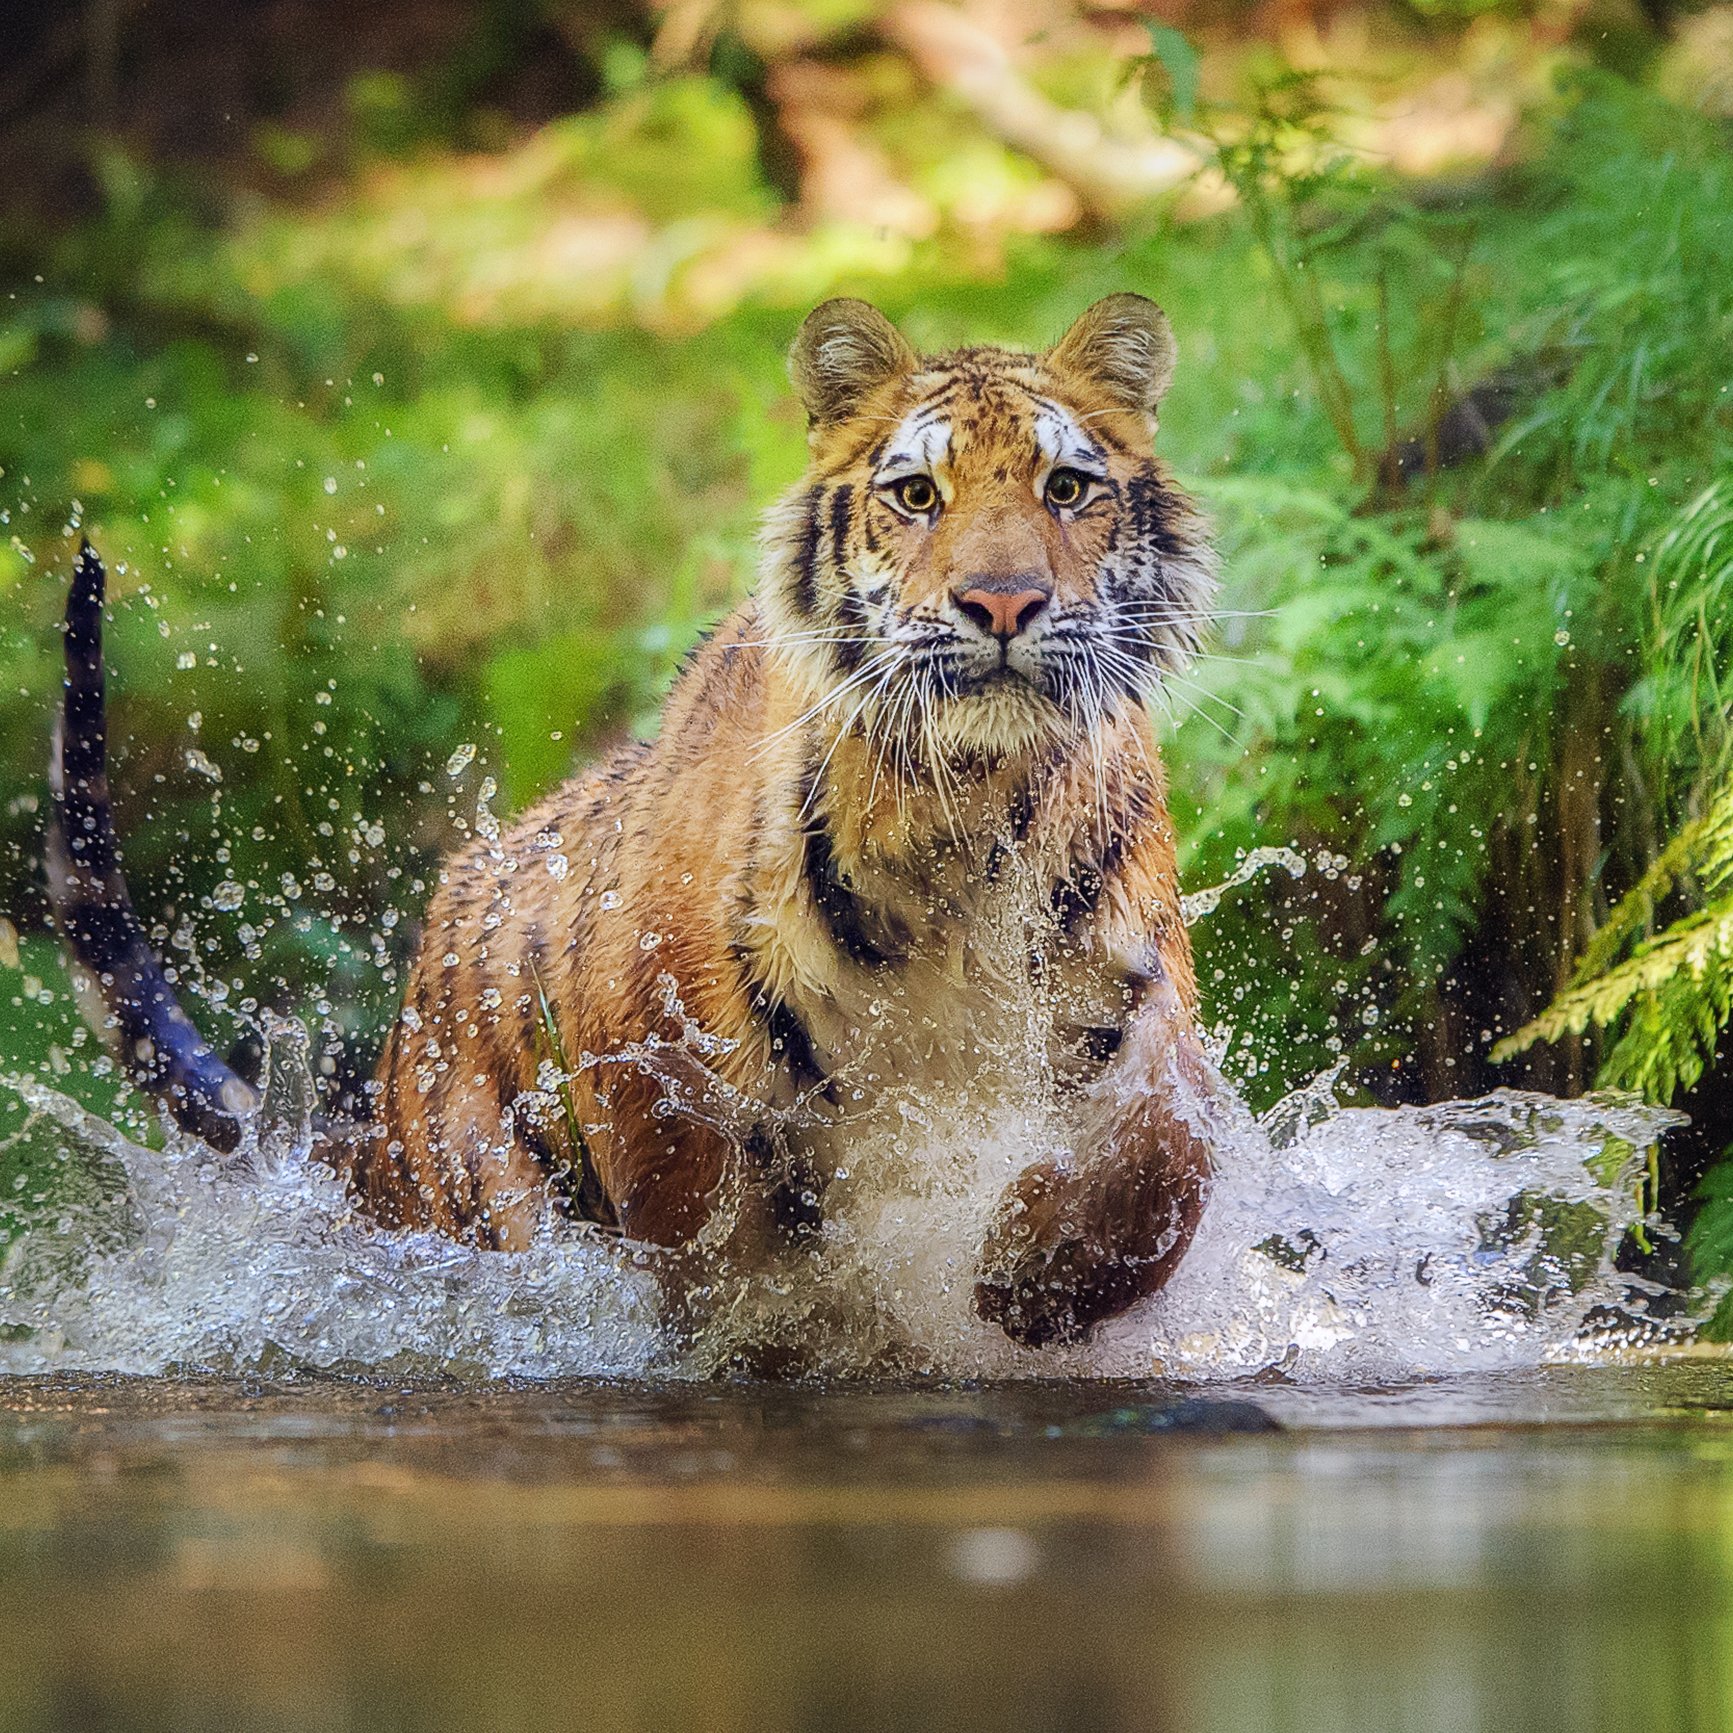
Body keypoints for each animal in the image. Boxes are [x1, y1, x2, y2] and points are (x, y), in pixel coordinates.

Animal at [47, 294, 1226, 1351]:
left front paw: (1033, 1276)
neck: (960, 816)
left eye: (1065, 487)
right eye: (916, 494)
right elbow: (726, 1258)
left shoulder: (1136, 989)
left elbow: (1168, 1148)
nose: (1003, 602)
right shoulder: (660, 1076)